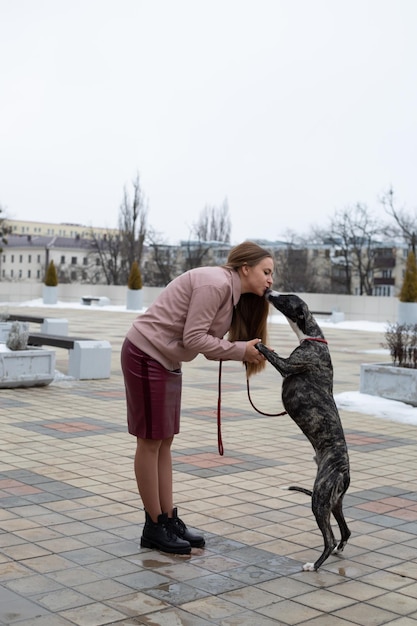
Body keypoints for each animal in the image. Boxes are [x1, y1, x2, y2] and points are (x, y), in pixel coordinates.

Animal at [255, 290, 350, 568]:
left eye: (286, 299)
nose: (269, 291)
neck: (312, 337)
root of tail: (344, 473)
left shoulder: (288, 365)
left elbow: (269, 352)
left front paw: (254, 343)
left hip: (320, 498)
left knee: (329, 537)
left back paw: (314, 565)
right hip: (333, 502)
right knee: (345, 531)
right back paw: (338, 550)